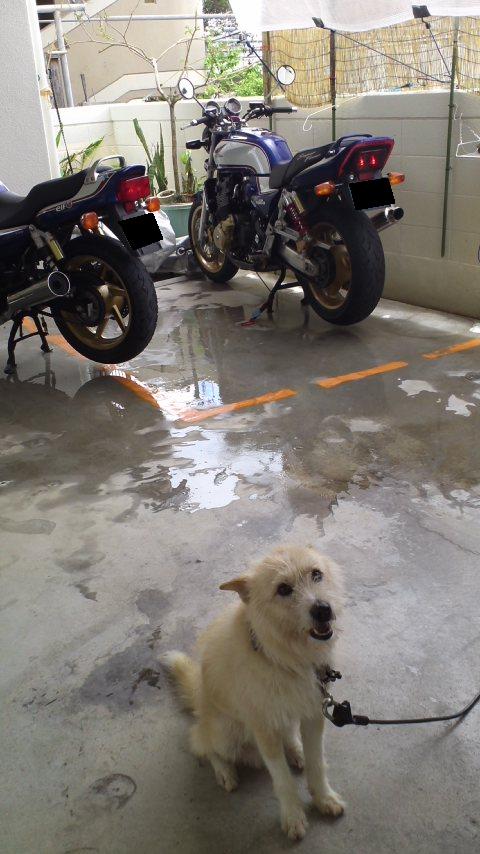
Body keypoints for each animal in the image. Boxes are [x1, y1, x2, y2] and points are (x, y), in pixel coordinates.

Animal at [163, 544, 345, 840]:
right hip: (225, 732)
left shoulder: (313, 715)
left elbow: (317, 763)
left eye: (316, 574)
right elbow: (282, 779)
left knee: (287, 736)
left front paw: (324, 798)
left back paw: (296, 751)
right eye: (283, 589)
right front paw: (292, 816)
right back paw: (224, 771)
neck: (285, 657)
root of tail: (200, 700)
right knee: (202, 743)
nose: (323, 610)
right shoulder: (263, 729)